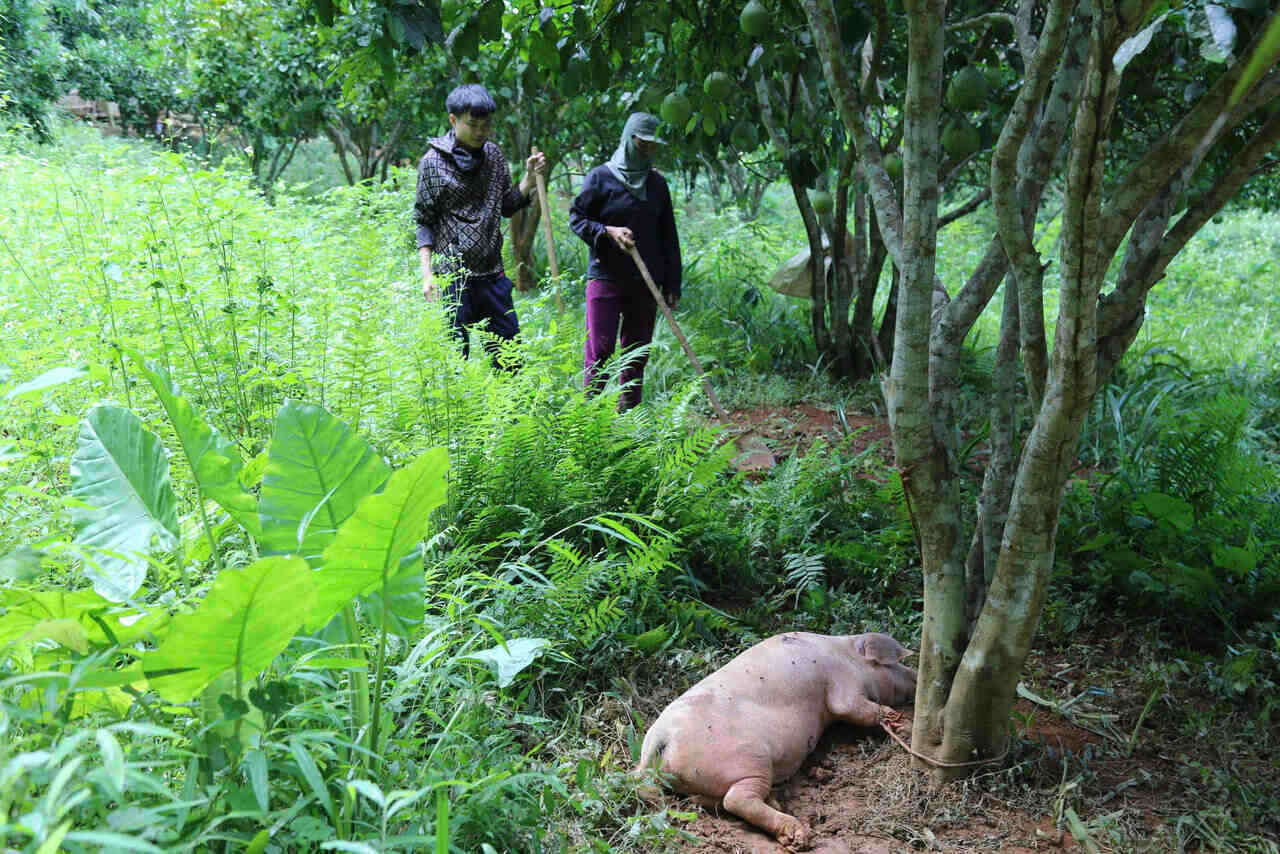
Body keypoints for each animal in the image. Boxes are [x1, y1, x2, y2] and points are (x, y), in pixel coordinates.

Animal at [634, 632, 916, 849]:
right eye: (893, 665)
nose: (915, 675)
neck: (847, 654)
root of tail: (661, 739)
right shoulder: (843, 683)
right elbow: (853, 707)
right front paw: (898, 720)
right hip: (749, 760)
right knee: (736, 800)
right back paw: (797, 834)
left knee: (710, 800)